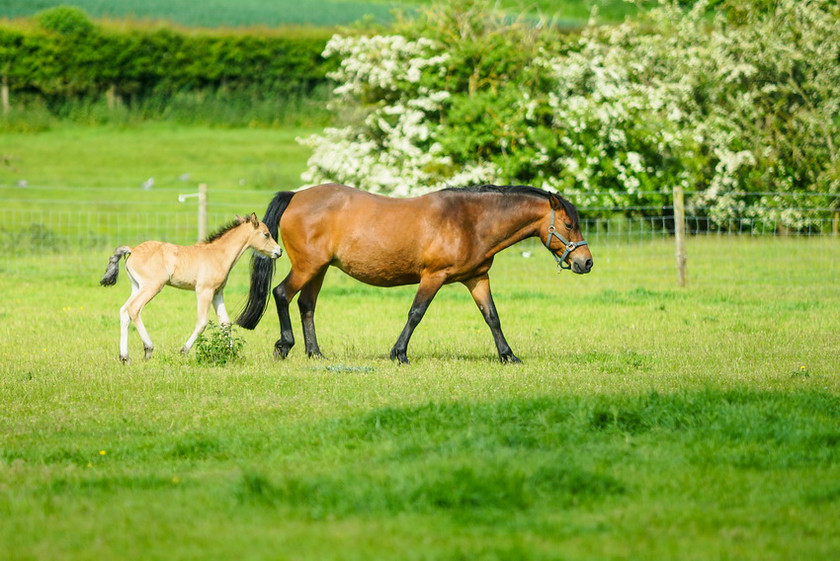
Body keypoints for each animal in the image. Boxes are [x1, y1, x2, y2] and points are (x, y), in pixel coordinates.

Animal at [100, 212, 284, 360]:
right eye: (266, 234)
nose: (279, 251)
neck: (218, 254)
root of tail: (133, 250)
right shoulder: (204, 291)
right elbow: (202, 322)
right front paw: (184, 350)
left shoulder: (217, 293)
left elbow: (225, 323)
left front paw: (232, 353)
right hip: (152, 287)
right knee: (133, 309)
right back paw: (148, 349)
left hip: (137, 287)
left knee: (124, 311)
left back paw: (124, 357)